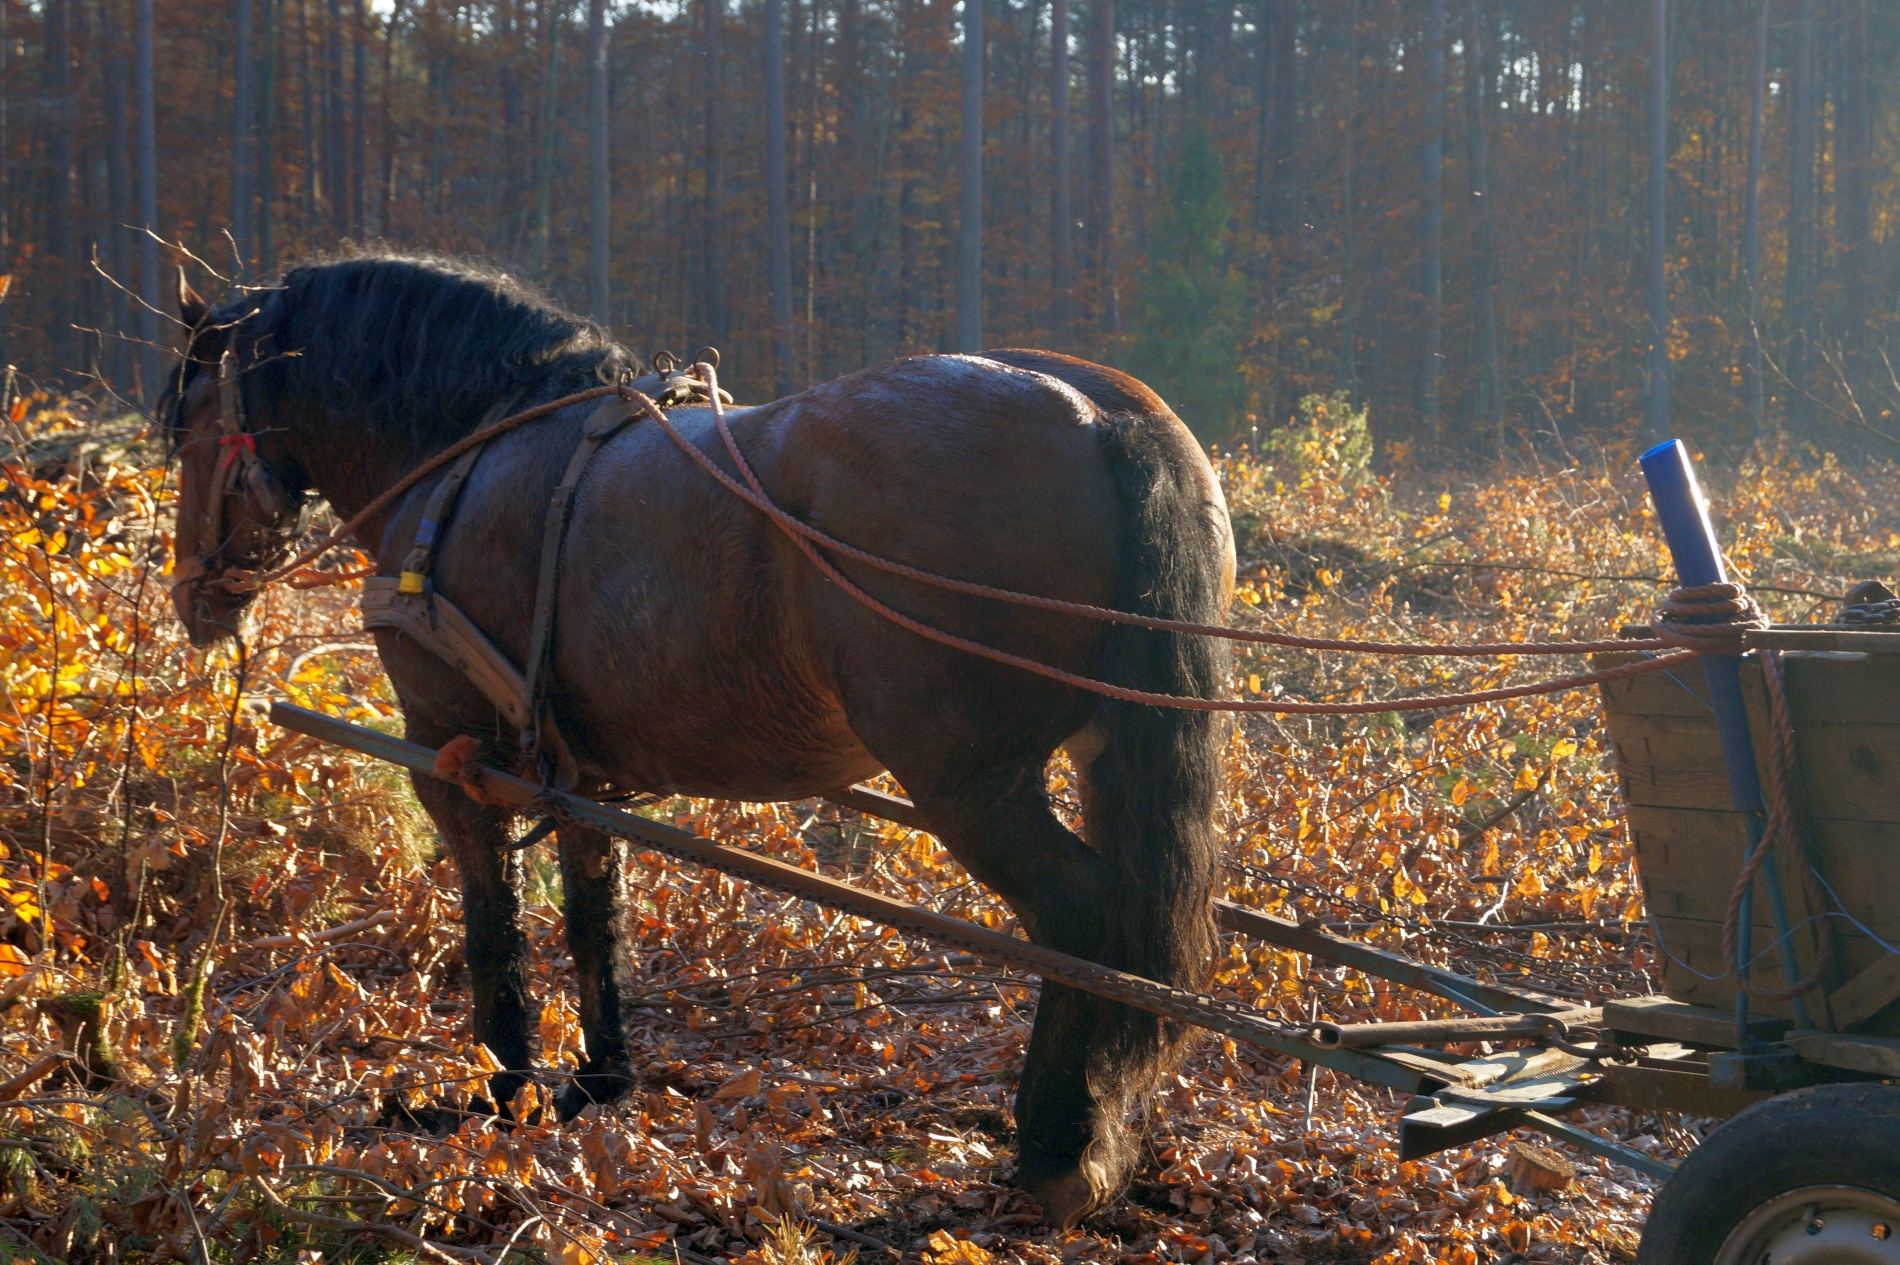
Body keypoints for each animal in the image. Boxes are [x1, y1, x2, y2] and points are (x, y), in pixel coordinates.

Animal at [159, 250, 1231, 1223]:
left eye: (190, 419)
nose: (194, 597)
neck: (464, 453)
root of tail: (1102, 414)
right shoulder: (567, 767)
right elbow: (595, 913)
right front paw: (600, 1078)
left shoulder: (453, 753)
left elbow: (492, 927)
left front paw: (501, 1090)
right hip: (1100, 750)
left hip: (969, 779)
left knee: (1081, 917)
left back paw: (1056, 1146)